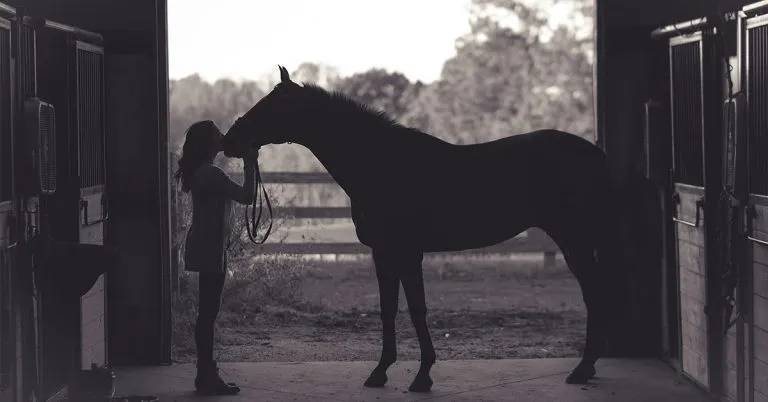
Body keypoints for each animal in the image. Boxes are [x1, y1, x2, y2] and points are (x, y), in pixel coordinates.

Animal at [221, 65, 624, 393]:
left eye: (270, 106)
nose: (229, 140)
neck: (381, 163)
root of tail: (595, 153)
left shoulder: (407, 252)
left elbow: (416, 308)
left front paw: (422, 375)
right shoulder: (383, 253)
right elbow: (388, 309)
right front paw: (380, 372)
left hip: (573, 239)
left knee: (595, 293)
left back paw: (582, 369)